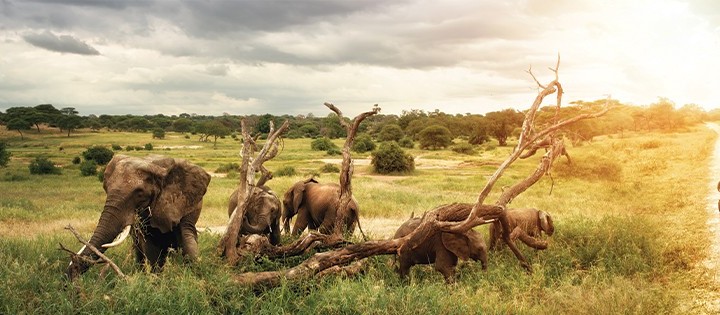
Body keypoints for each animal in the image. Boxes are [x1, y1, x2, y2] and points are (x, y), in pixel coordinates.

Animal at [66, 154, 211, 280]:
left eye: (139, 193)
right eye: (105, 188)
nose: (72, 271)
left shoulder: (186, 202)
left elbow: (187, 237)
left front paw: (195, 276)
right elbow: (150, 246)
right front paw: (156, 280)